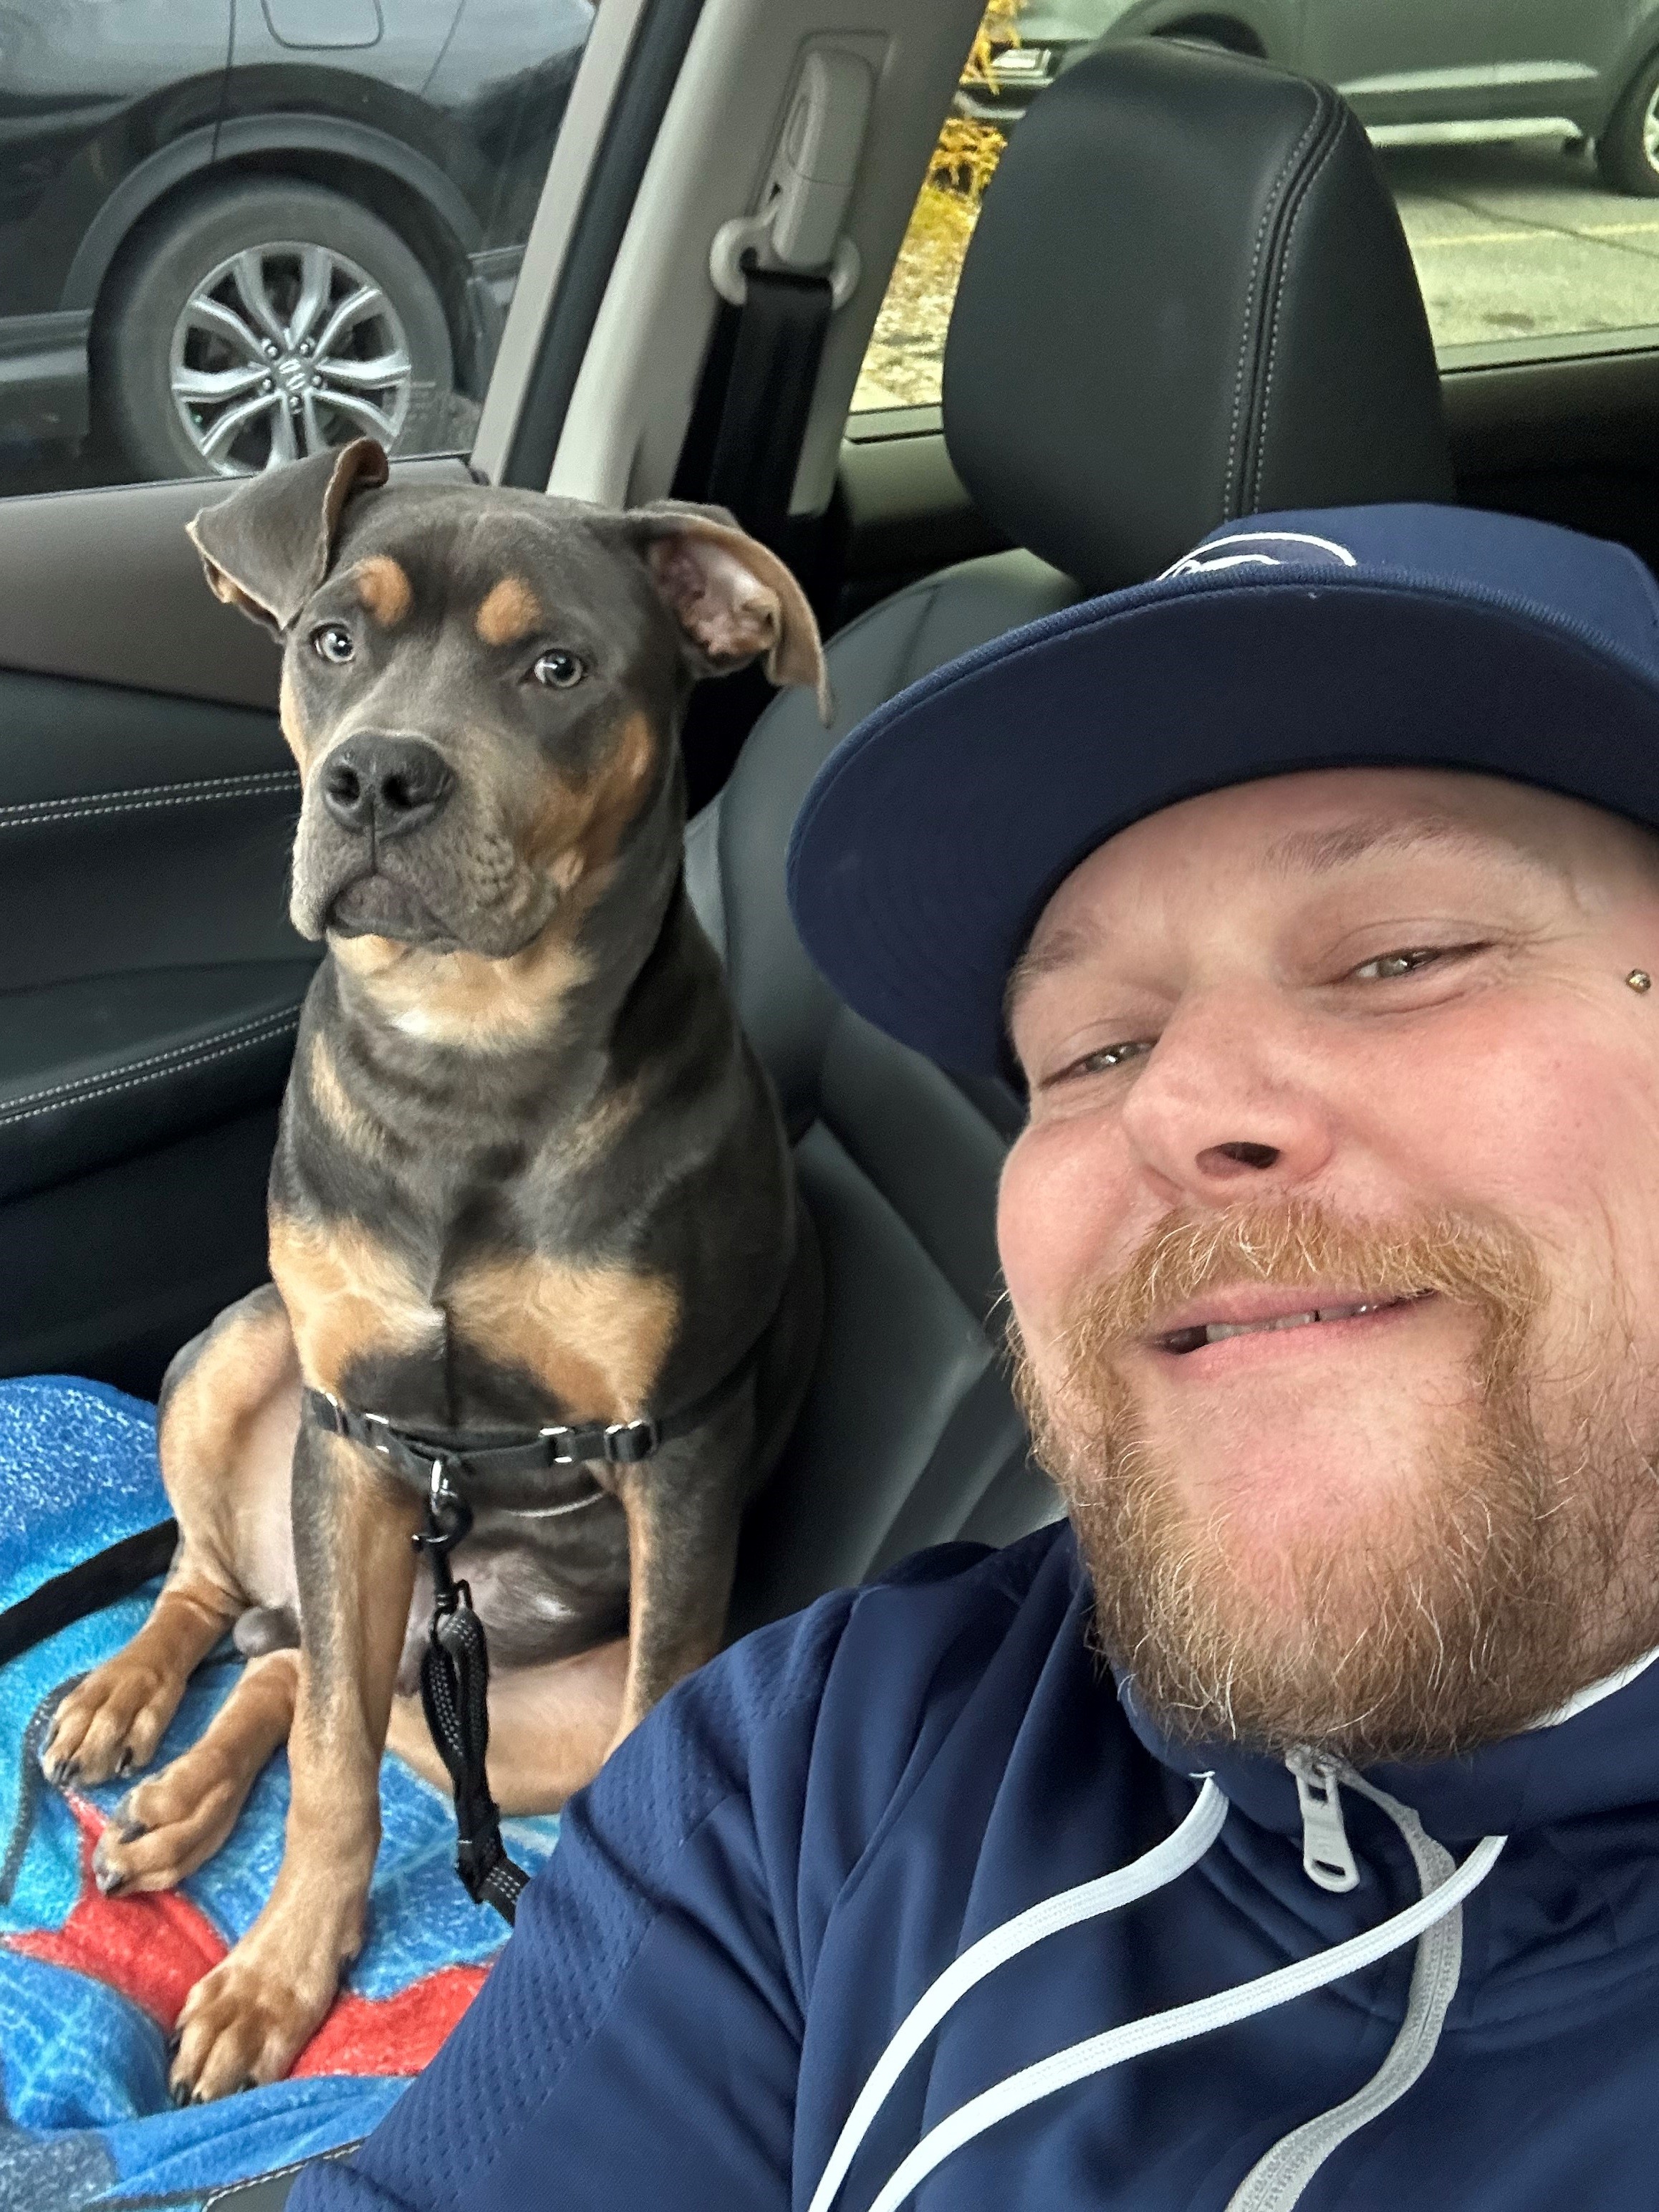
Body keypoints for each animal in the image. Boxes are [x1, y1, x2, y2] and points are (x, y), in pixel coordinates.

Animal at [39, 437, 827, 2102]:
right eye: (333, 639)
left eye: (557, 668)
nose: (376, 779)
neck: (467, 1055)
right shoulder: (356, 1429)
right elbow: (333, 1766)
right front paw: (279, 1973)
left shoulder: (676, 1453)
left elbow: (636, 1740)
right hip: (246, 1361)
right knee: (249, 1616)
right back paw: (132, 1704)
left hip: (516, 1707)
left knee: (312, 1674)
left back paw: (183, 1798)